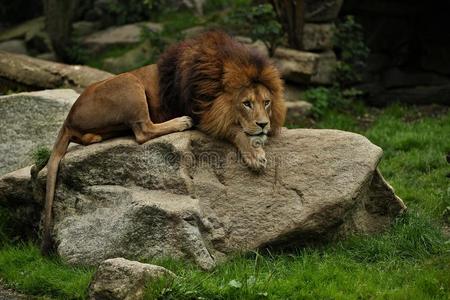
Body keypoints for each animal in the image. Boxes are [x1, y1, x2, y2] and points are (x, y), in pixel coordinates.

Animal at [37, 31, 284, 254]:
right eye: (246, 103)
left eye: (267, 102)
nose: (264, 124)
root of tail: (68, 118)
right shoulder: (204, 114)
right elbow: (235, 130)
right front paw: (254, 155)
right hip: (130, 81)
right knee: (142, 131)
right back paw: (182, 122)